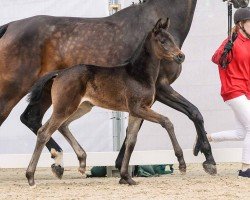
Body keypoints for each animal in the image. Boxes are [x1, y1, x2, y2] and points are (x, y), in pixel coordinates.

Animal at [25, 19, 186, 187]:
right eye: (162, 41)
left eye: (172, 39)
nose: (180, 56)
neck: (138, 74)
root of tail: (59, 73)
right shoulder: (138, 108)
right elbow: (166, 122)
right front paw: (182, 164)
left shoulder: (135, 112)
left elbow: (131, 141)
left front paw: (126, 177)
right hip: (64, 108)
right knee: (44, 132)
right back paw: (31, 177)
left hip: (81, 107)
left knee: (62, 126)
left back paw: (82, 162)